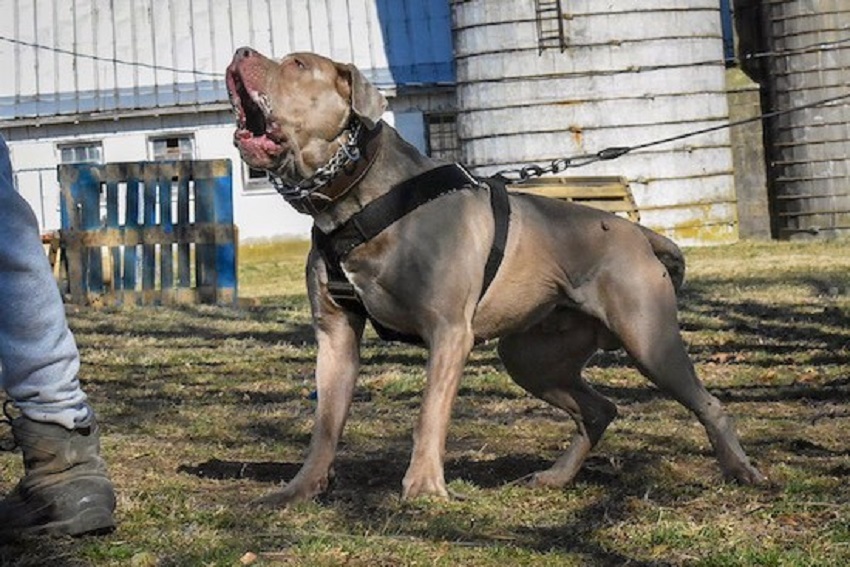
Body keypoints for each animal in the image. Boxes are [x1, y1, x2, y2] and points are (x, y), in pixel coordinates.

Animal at [224, 46, 760, 504]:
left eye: (297, 63)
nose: (240, 51)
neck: (353, 200)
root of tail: (639, 232)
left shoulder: (448, 331)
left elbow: (429, 413)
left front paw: (423, 489)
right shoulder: (335, 334)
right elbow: (325, 422)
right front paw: (301, 487)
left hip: (648, 339)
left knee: (707, 404)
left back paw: (742, 470)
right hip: (530, 355)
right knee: (598, 409)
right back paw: (555, 476)